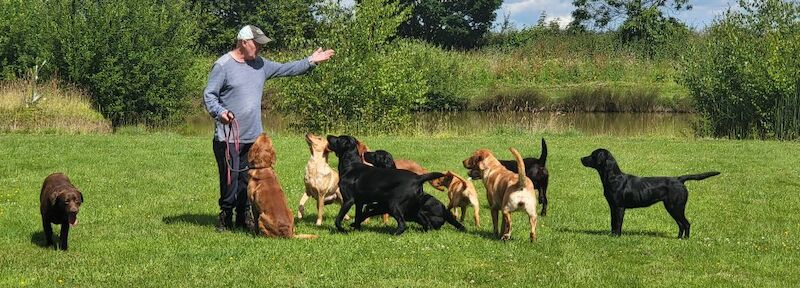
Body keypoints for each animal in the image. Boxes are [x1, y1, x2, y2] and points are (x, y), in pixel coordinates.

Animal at [580, 148, 720, 238]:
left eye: (592, 155)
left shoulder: (619, 207)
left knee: (686, 224)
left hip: (675, 207)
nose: (581, 158)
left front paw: (616, 237)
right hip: (673, 208)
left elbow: (618, 223)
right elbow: (612, 223)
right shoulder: (612, 206)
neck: (613, 177)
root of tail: (679, 179)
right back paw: (679, 238)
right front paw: (612, 235)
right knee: (681, 224)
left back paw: (685, 239)